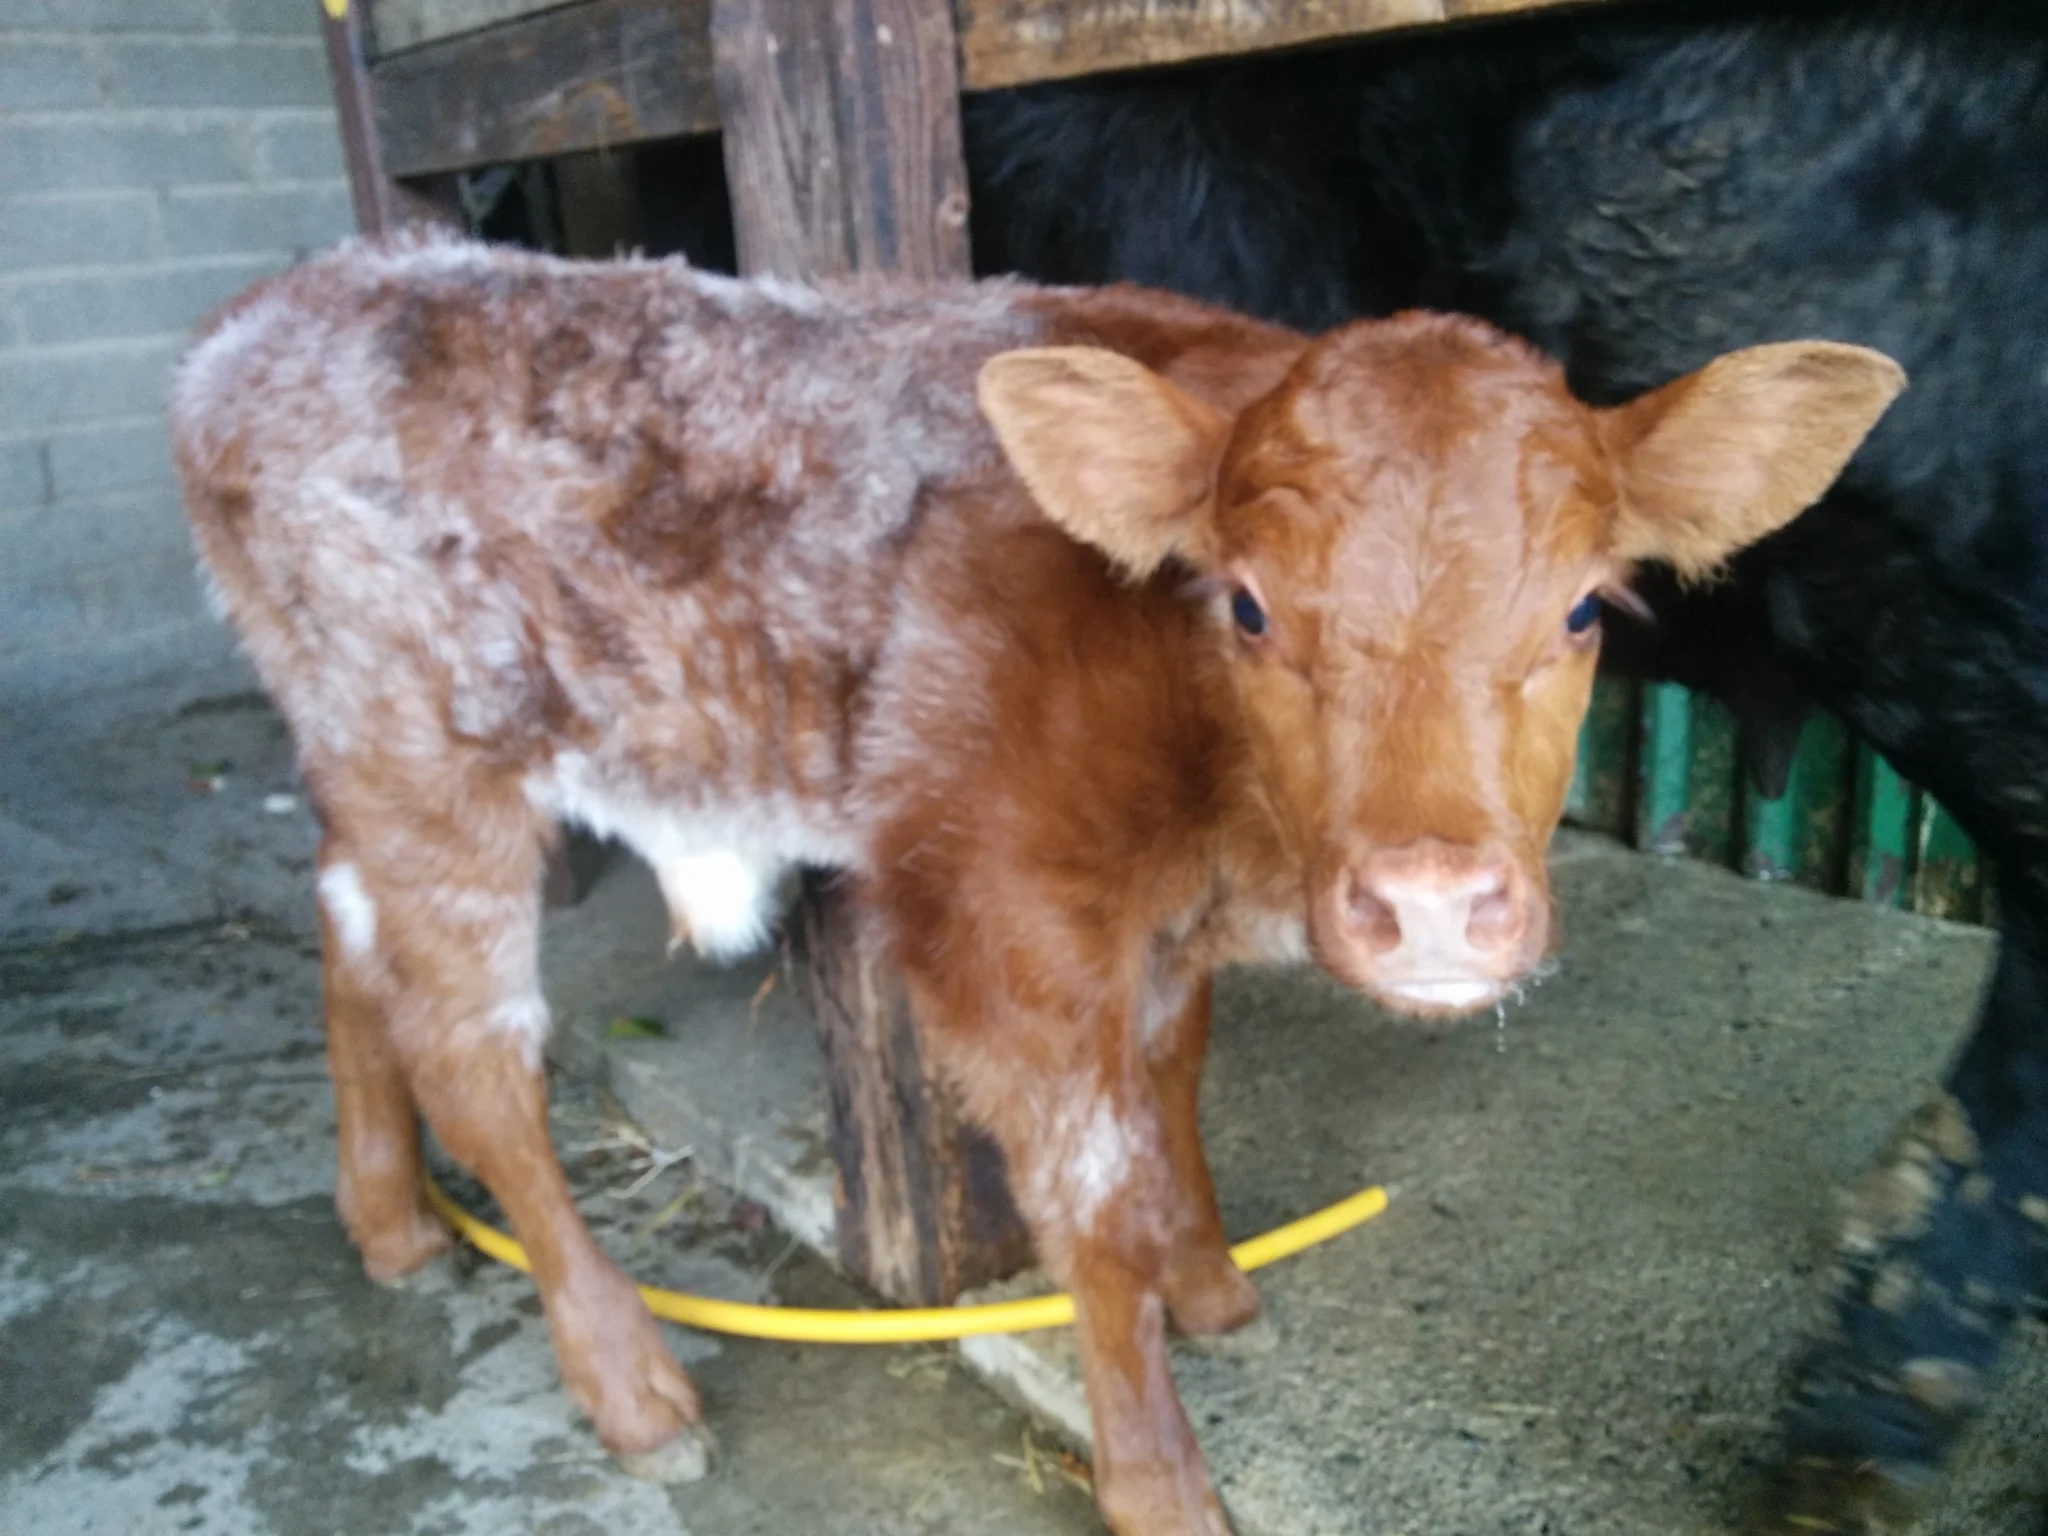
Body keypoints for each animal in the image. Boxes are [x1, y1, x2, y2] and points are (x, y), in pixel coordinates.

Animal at [170, 230, 1897, 1535]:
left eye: (1587, 612)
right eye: (1248, 606)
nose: (1428, 905)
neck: (1219, 818)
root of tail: (264, 313)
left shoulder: (1157, 924)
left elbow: (1177, 1079)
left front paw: (1214, 1286)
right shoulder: (996, 911)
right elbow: (1096, 1188)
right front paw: (1158, 1476)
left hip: (357, 752)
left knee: (343, 928)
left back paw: (390, 1221)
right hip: (433, 758)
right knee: (476, 1056)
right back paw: (628, 1381)